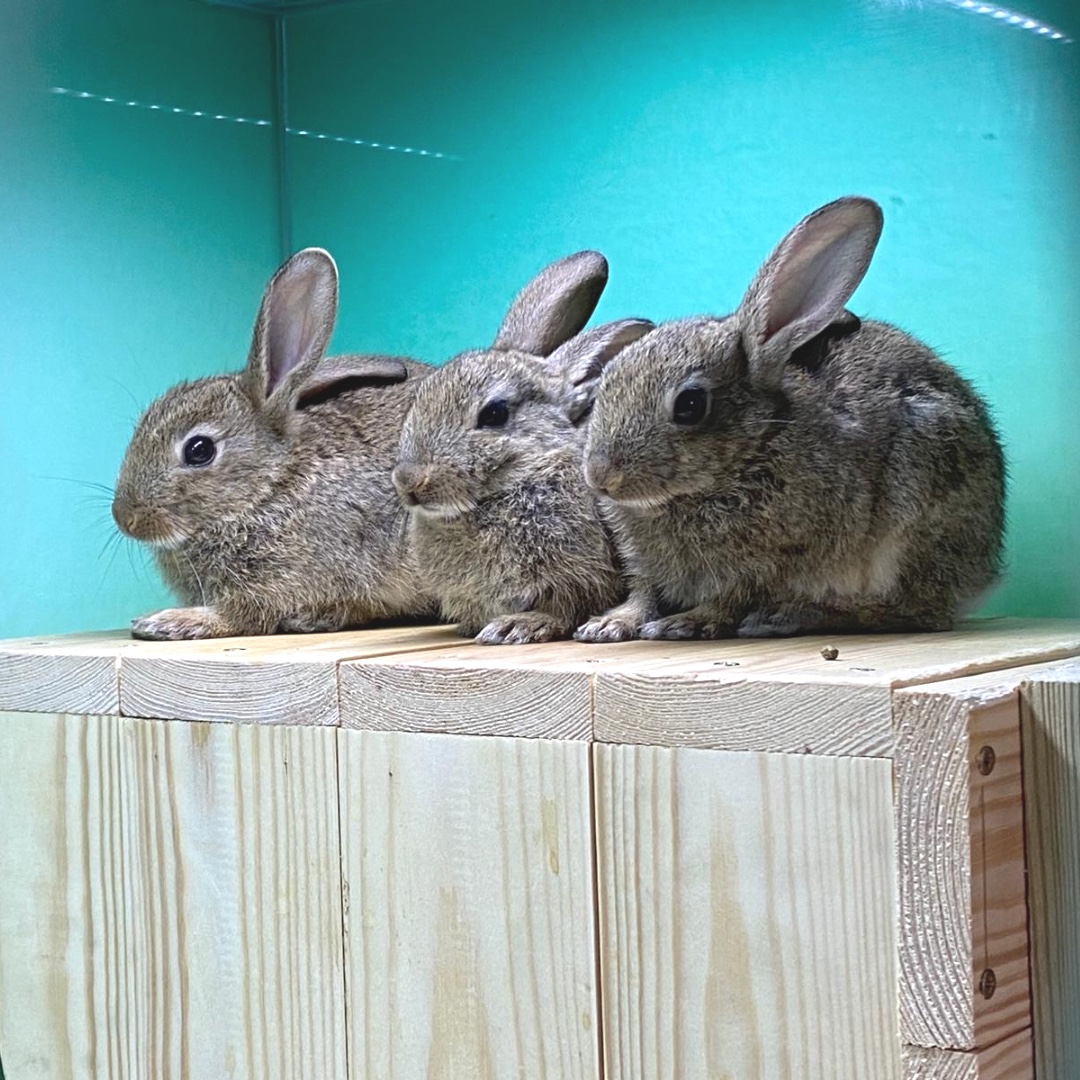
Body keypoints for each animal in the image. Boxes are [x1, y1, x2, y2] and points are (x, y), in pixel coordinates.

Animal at [113, 248, 434, 635]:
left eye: (199, 450)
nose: (124, 518)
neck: (270, 486)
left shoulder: (281, 580)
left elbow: (241, 615)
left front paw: (169, 621)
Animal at [578, 194, 1006, 639]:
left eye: (690, 405)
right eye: (605, 382)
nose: (602, 477)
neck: (751, 449)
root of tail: (982, 572)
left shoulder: (772, 560)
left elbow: (731, 597)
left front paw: (685, 622)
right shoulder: (644, 565)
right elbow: (643, 591)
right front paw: (609, 625)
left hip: (913, 513)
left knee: (909, 612)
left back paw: (790, 616)